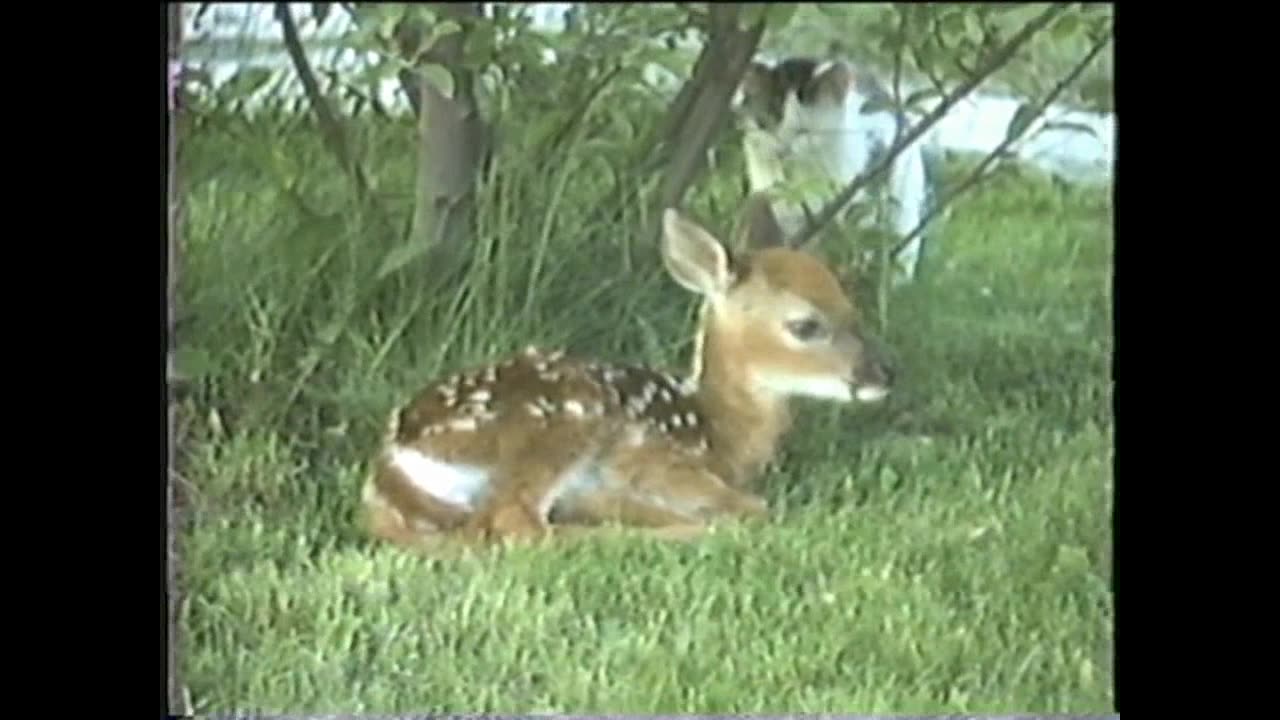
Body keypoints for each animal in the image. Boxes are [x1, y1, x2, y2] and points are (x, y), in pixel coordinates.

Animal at [361, 192, 895, 553]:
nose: (883, 376)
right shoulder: (654, 460)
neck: (720, 432)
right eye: (804, 325)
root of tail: (393, 465)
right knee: (519, 525)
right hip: (563, 422)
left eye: (852, 306)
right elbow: (755, 506)